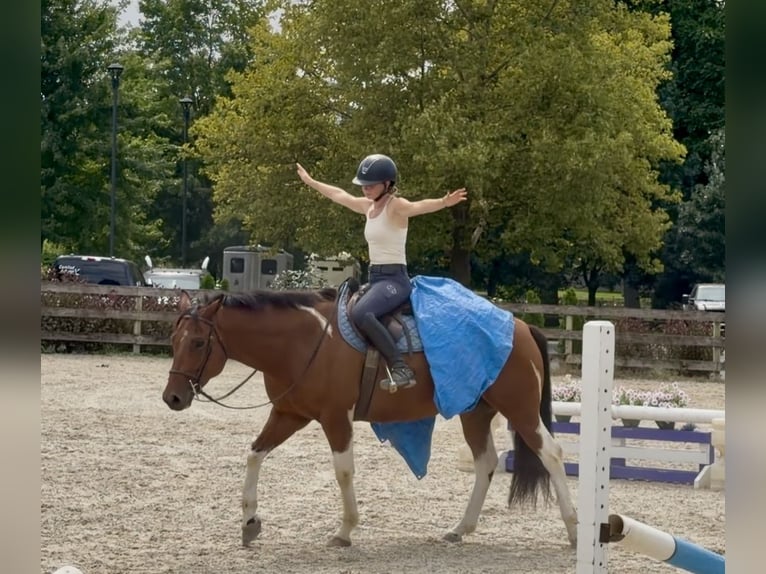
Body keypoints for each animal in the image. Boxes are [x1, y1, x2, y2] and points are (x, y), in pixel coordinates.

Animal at [162, 287, 578, 548]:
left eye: (198, 342)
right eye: (173, 340)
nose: (173, 397)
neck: (303, 342)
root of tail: (520, 326)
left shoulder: (335, 418)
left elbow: (343, 471)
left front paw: (345, 530)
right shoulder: (289, 414)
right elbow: (254, 454)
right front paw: (250, 523)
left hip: (520, 410)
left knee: (552, 454)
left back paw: (575, 530)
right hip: (475, 413)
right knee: (486, 462)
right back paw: (460, 528)